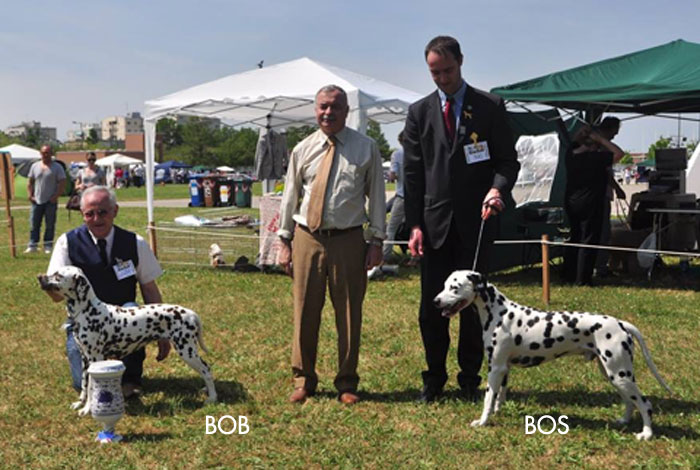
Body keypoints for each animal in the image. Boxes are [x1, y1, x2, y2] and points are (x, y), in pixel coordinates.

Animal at [38, 266, 217, 416]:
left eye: (58, 275)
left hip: (187, 350)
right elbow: (84, 385)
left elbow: (91, 387)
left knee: (206, 369)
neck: (88, 310)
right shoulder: (85, 358)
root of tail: (191, 313)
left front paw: (87, 409)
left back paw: (212, 397)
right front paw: (80, 403)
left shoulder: (95, 358)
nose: (39, 277)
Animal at [433, 270, 672, 440]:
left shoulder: (495, 368)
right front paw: (497, 412)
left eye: (454, 288)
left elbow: (487, 398)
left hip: (620, 375)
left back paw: (646, 434)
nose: (435, 301)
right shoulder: (504, 369)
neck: (499, 313)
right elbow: (499, 396)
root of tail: (621, 323)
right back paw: (623, 421)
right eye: (444, 286)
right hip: (614, 374)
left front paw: (482, 422)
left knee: (645, 404)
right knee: (630, 402)